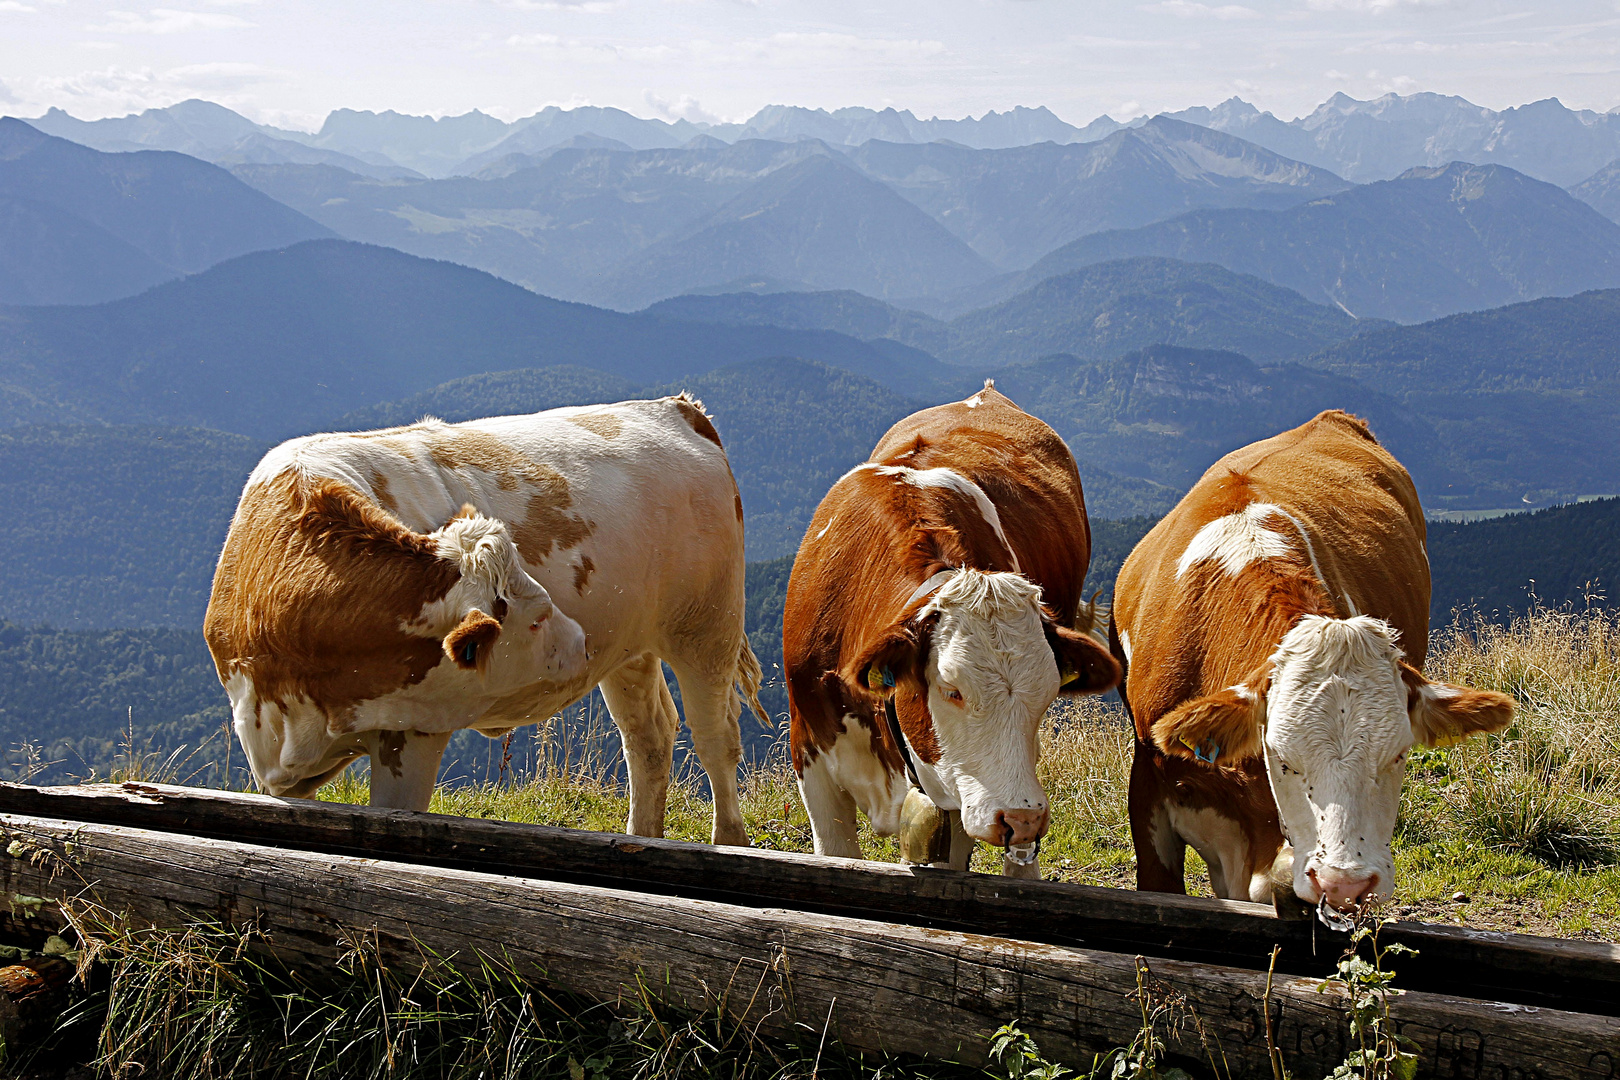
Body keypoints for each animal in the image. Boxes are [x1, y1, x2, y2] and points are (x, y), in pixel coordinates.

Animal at [204, 395, 764, 841]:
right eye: (537, 615)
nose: (582, 645)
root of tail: (675, 406)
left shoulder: (414, 733)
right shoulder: (271, 755)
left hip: (706, 628)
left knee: (715, 739)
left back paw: (728, 841)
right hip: (632, 647)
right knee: (648, 735)